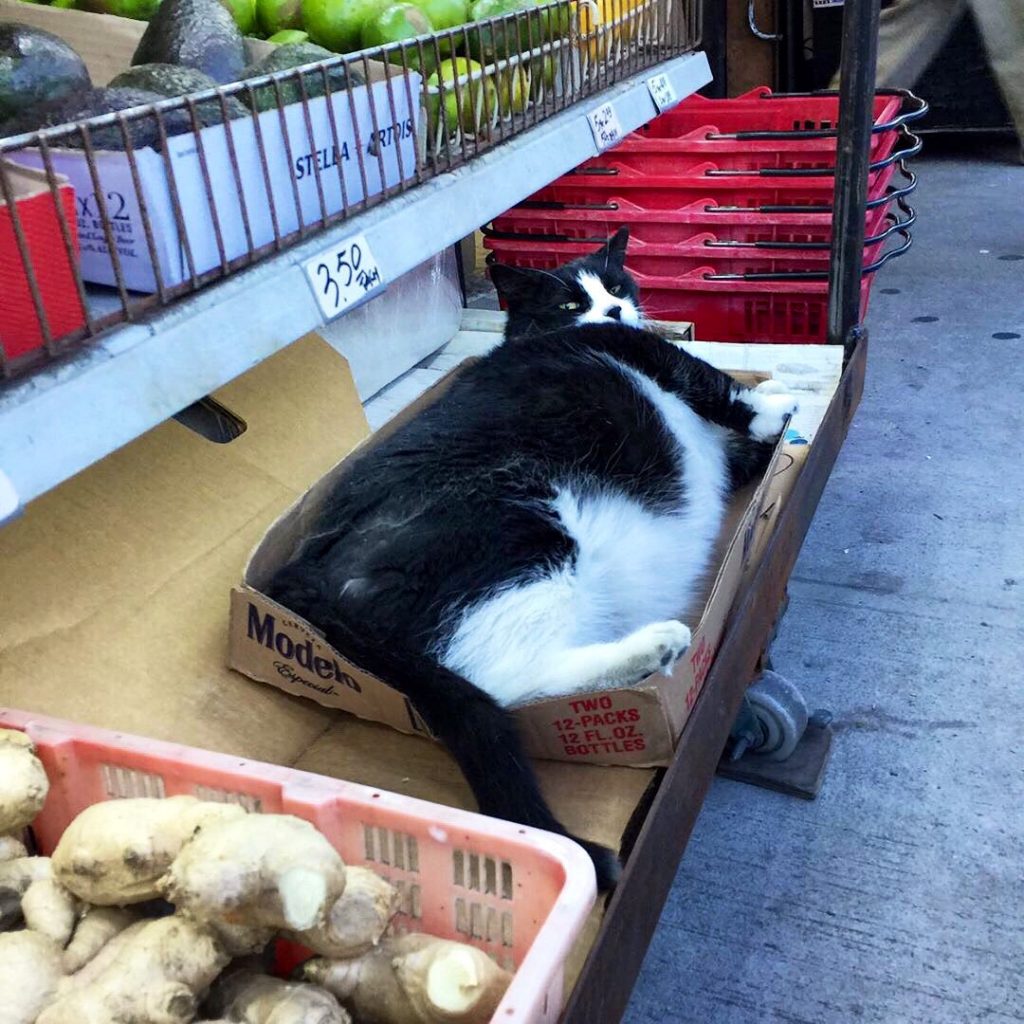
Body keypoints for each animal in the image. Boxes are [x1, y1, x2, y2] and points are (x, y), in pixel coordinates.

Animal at [268, 230, 794, 888]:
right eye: (570, 304)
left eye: (617, 285)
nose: (614, 311)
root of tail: (300, 572)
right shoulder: (643, 353)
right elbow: (712, 381)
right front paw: (777, 401)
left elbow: (739, 442)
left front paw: (769, 416)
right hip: (523, 530)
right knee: (505, 680)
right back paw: (655, 646)